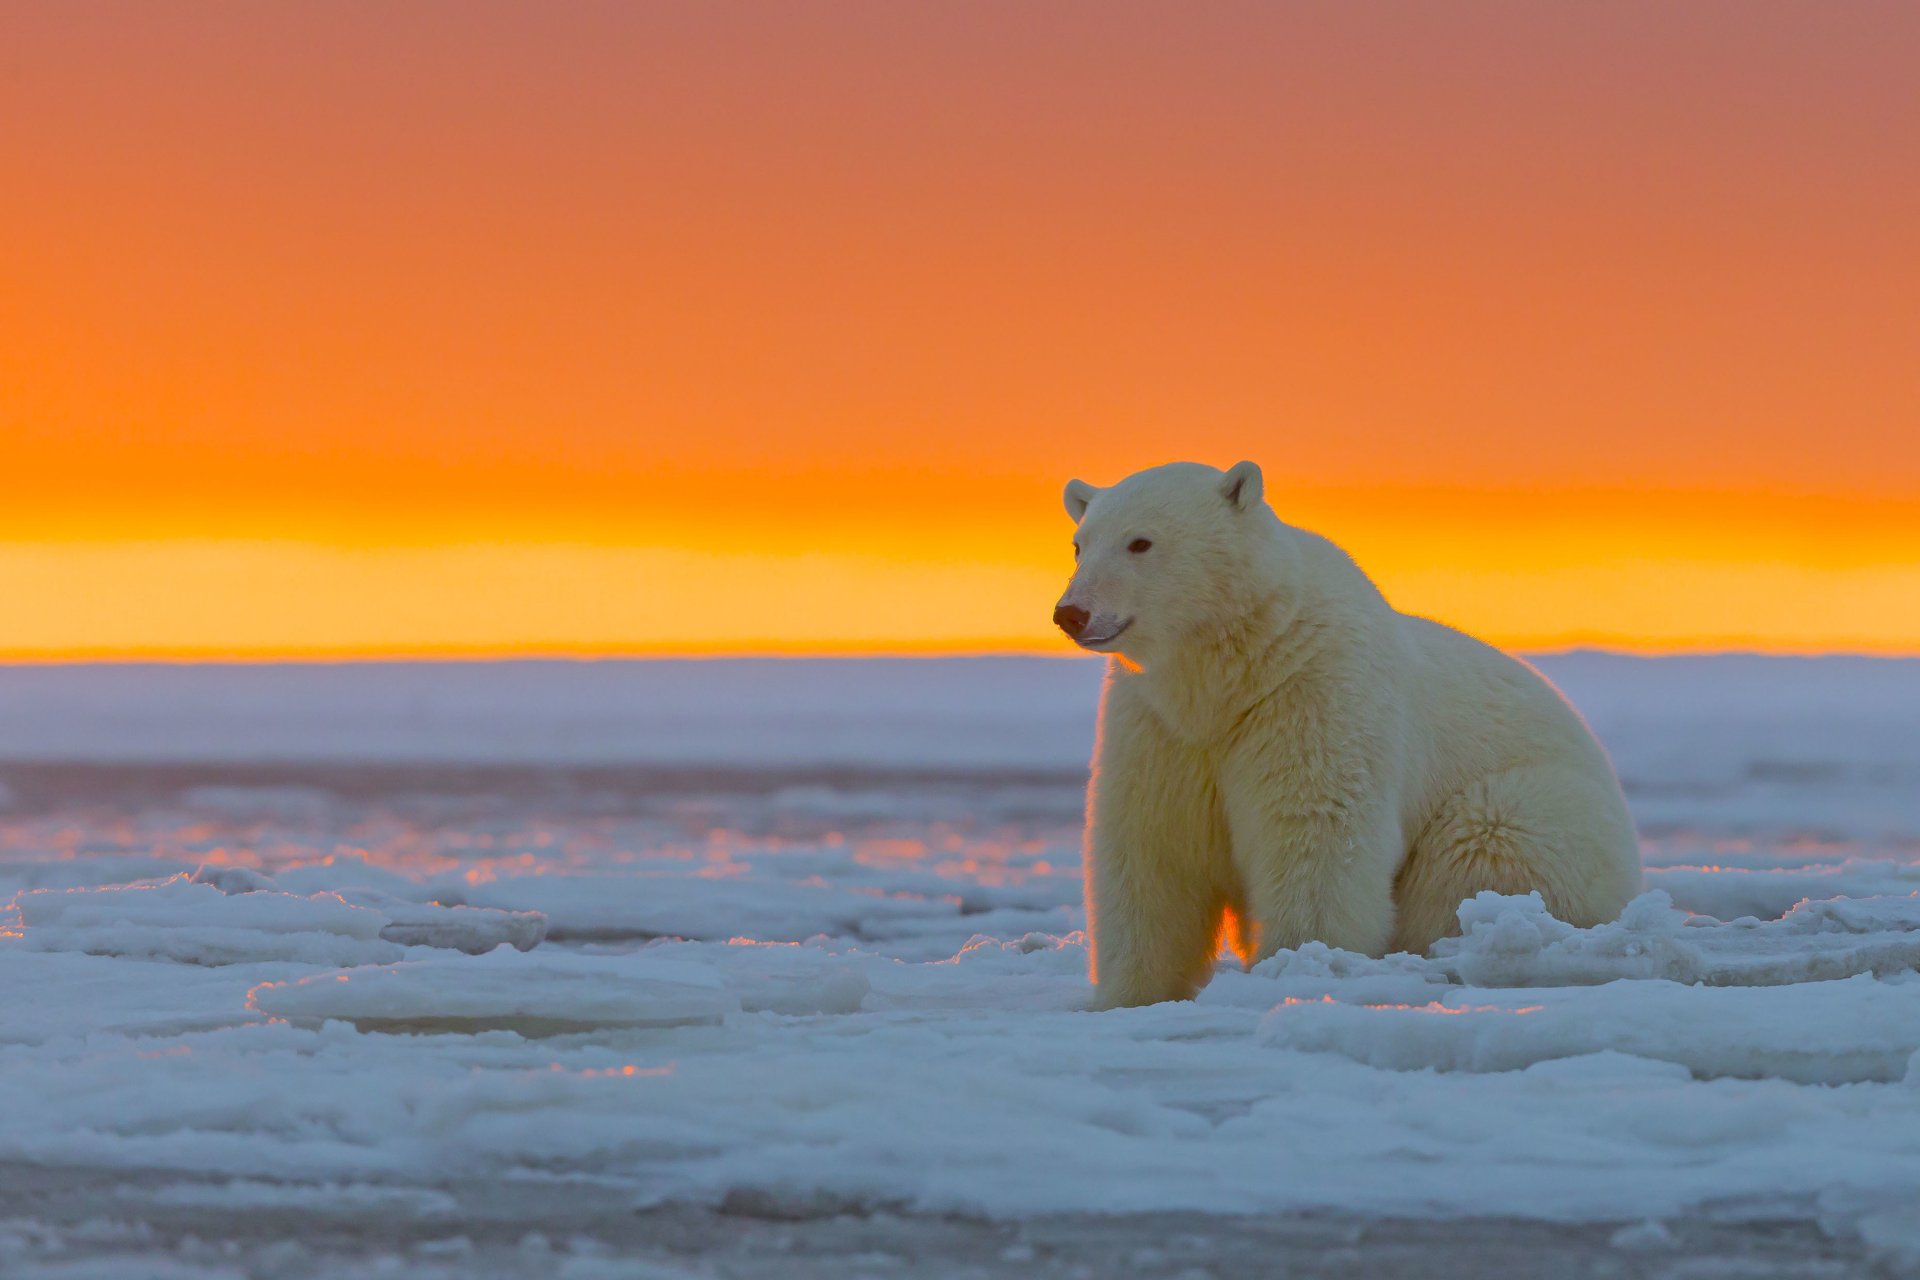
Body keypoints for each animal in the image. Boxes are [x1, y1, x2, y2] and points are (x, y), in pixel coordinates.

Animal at [1054, 460, 1642, 1008]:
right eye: (1080, 544)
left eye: (1141, 541)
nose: (1071, 613)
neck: (1234, 674)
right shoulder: (1159, 725)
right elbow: (1151, 847)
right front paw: (1131, 994)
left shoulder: (1314, 692)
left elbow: (1315, 833)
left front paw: (1298, 964)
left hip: (1541, 814)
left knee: (1485, 842)